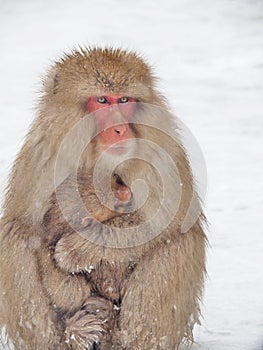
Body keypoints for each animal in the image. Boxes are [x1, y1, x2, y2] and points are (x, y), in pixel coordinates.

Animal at [0, 47, 207, 350]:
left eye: (123, 100)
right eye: (101, 100)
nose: (120, 129)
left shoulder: (162, 151)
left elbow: (170, 225)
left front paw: (77, 250)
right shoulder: (42, 154)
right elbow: (26, 228)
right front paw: (68, 286)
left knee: (177, 243)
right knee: (13, 237)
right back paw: (70, 338)